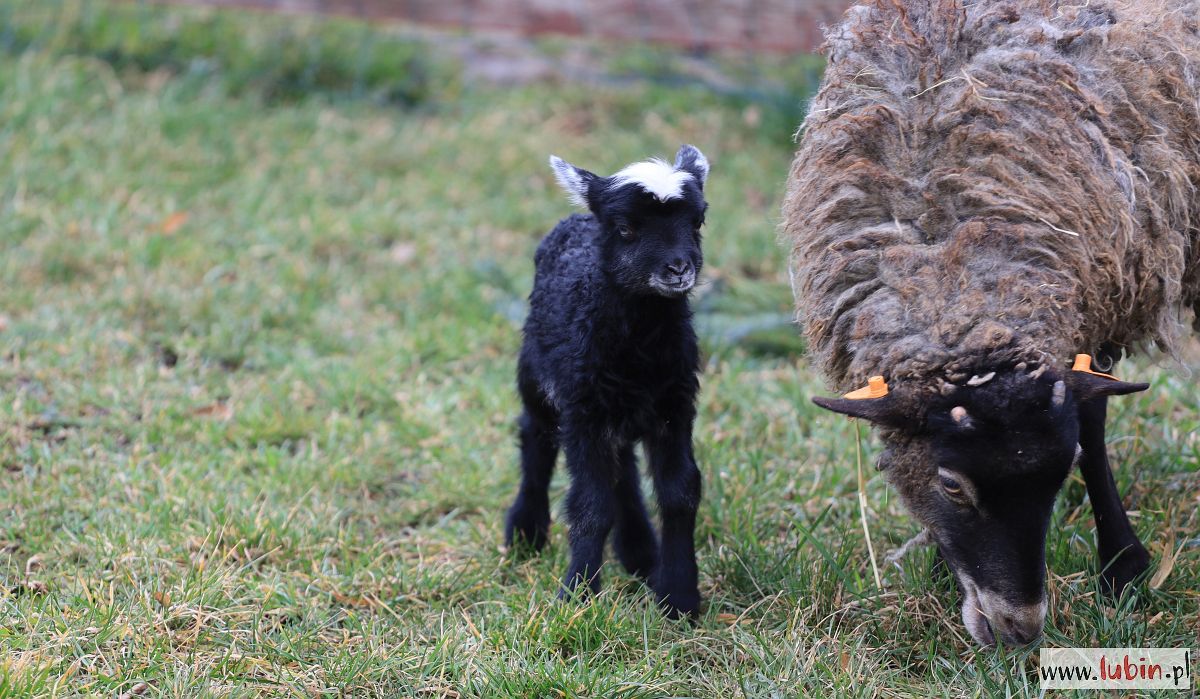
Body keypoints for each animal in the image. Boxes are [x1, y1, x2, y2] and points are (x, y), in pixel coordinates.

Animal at [506, 144, 710, 619]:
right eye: (626, 229)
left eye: (696, 222)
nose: (678, 268)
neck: (641, 346)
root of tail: (577, 218)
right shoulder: (584, 411)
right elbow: (589, 507)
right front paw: (577, 598)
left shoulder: (674, 406)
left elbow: (680, 492)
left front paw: (679, 597)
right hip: (538, 377)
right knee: (535, 438)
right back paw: (525, 532)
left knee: (623, 470)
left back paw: (640, 552)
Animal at [782, 0, 1195, 648]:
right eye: (952, 485)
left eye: (1061, 473)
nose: (1020, 630)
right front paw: (938, 570)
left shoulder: (1106, 284)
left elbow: (1093, 417)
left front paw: (1122, 566)